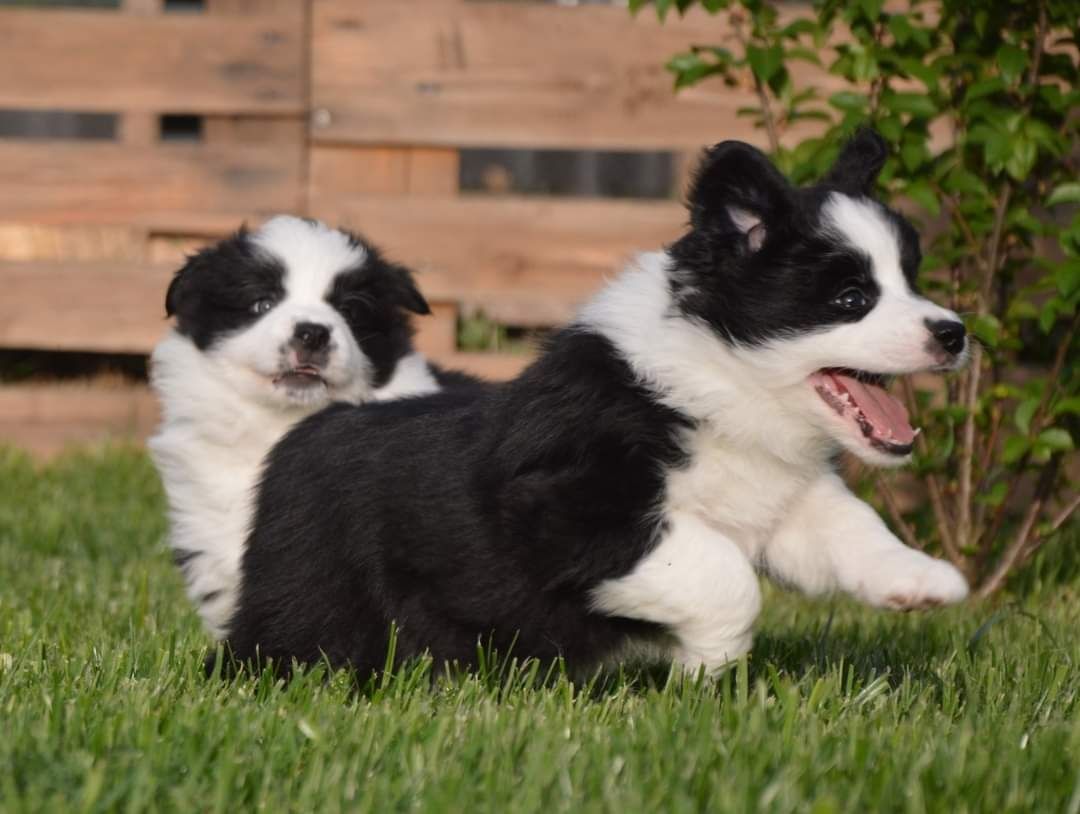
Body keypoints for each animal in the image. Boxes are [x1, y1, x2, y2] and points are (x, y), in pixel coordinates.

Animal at [225, 130, 972, 673]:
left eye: (911, 279)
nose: (956, 333)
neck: (721, 380)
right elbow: (729, 578)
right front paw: (711, 666)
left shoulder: (782, 499)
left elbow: (848, 524)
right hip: (312, 594)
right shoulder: (567, 511)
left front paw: (923, 580)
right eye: (851, 299)